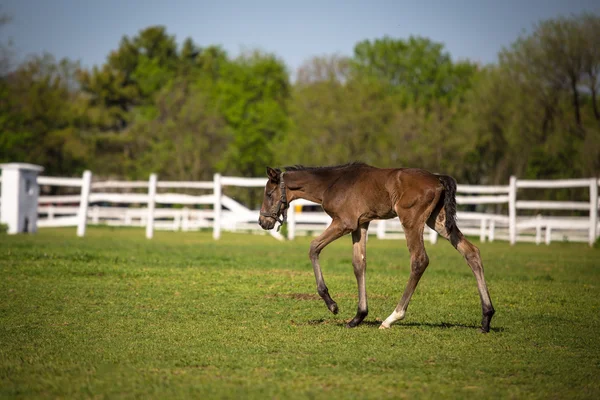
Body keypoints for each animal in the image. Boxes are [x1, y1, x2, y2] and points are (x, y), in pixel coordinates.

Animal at [258, 161, 496, 332]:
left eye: (269, 194)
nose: (263, 222)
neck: (332, 183)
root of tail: (437, 178)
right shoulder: (361, 224)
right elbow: (358, 264)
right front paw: (358, 316)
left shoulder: (344, 223)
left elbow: (313, 247)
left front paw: (332, 304)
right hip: (438, 221)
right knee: (471, 252)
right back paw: (486, 318)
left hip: (411, 220)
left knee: (419, 260)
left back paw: (392, 318)